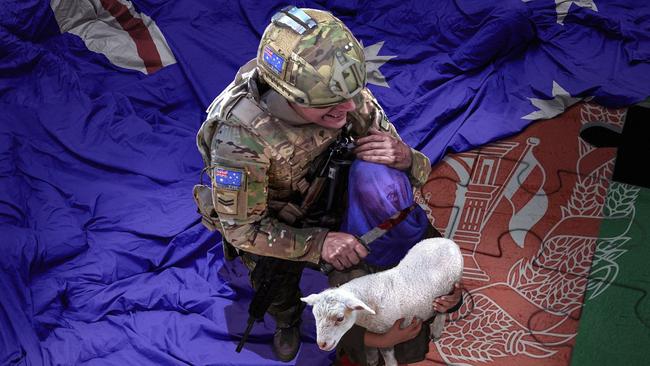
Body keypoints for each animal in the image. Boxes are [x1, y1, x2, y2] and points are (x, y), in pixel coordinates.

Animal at [298, 237, 460, 366]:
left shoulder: (386, 331)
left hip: (450, 286)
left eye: (340, 318)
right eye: (315, 316)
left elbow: (387, 354)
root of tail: (447, 241)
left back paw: (437, 328)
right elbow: (370, 344)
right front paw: (372, 359)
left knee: (442, 309)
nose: (322, 344)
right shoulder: (374, 328)